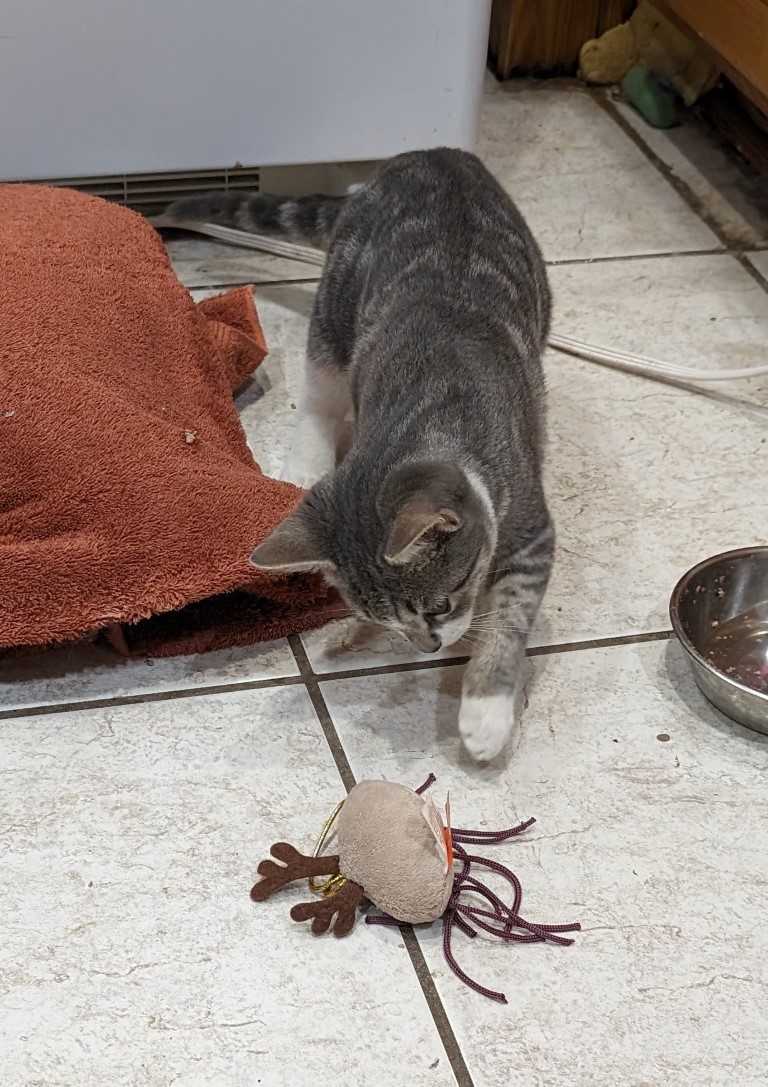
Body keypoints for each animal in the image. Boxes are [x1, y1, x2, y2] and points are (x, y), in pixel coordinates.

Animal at [166, 151, 551, 765]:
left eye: (439, 606)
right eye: (382, 617)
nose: (427, 647)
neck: (430, 413)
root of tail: (430, 155)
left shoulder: (531, 526)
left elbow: (510, 615)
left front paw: (486, 714)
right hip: (335, 306)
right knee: (319, 390)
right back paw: (303, 467)